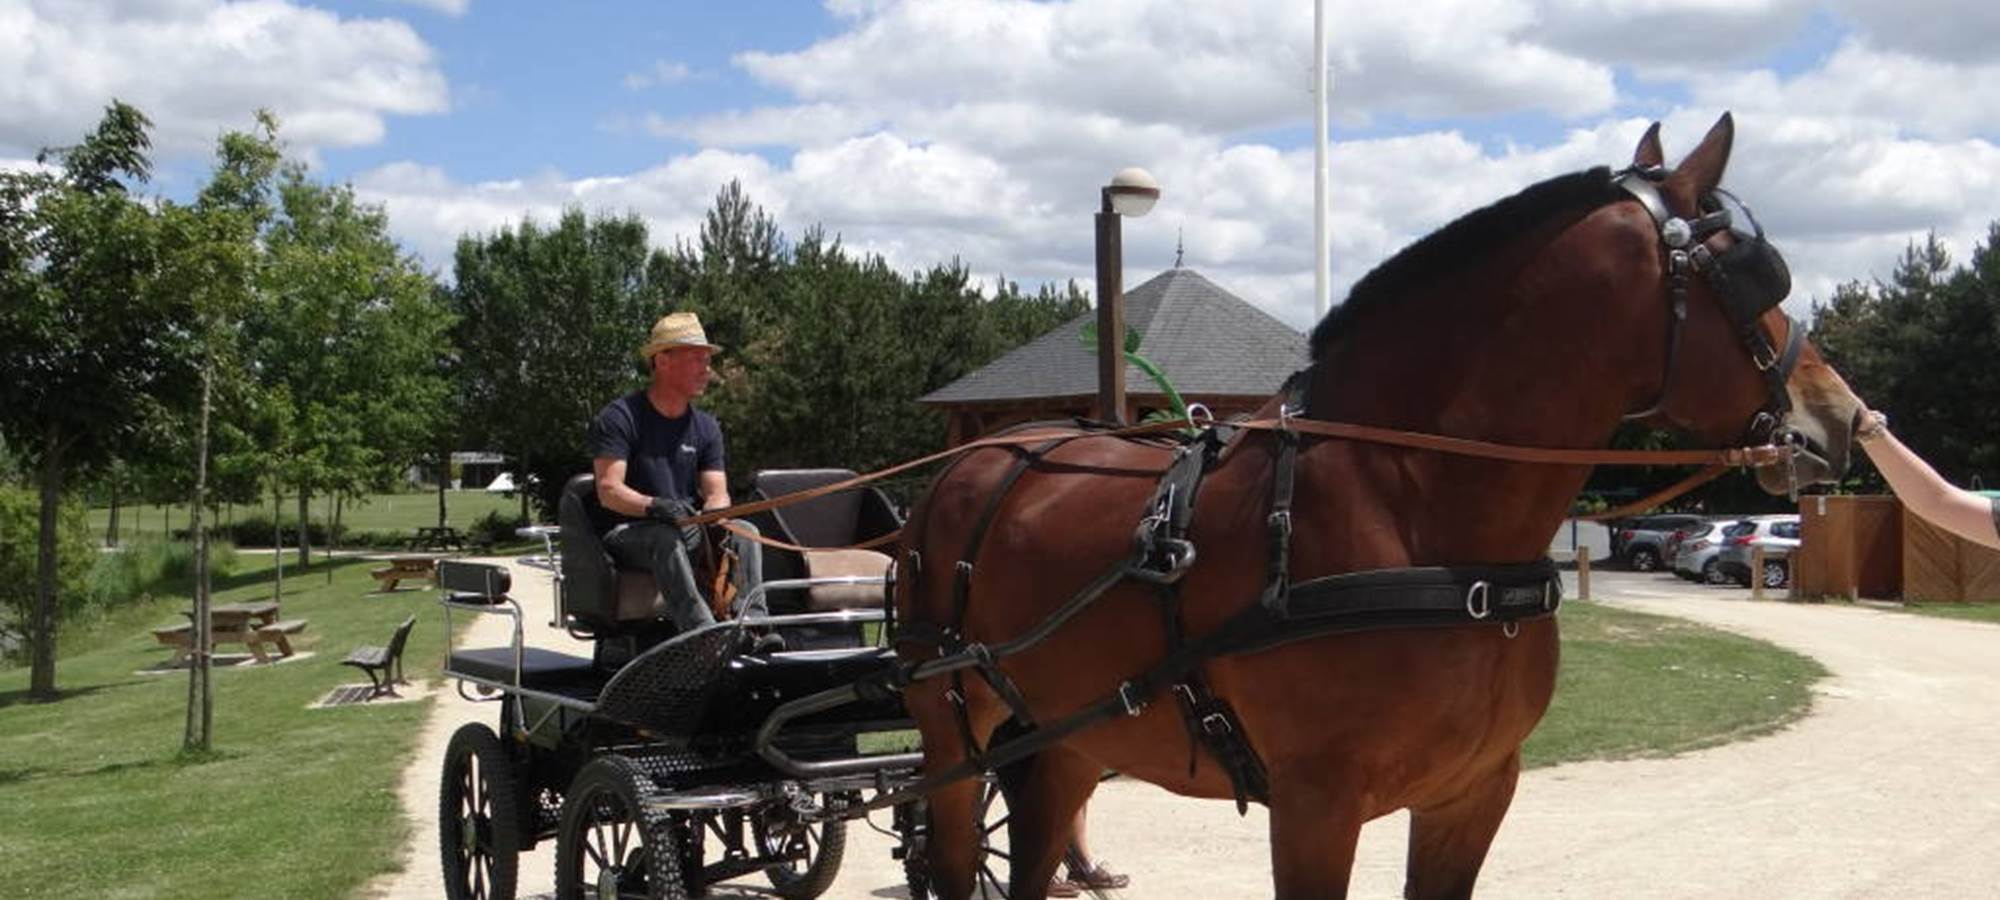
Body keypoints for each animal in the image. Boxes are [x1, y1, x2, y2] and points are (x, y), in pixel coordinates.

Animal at [891, 113, 1866, 900]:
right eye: (1752, 281)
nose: (1842, 419)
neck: (1425, 522)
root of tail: (970, 463)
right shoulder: (1316, 806)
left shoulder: (1472, 793)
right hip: (952, 731)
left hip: (1065, 738)